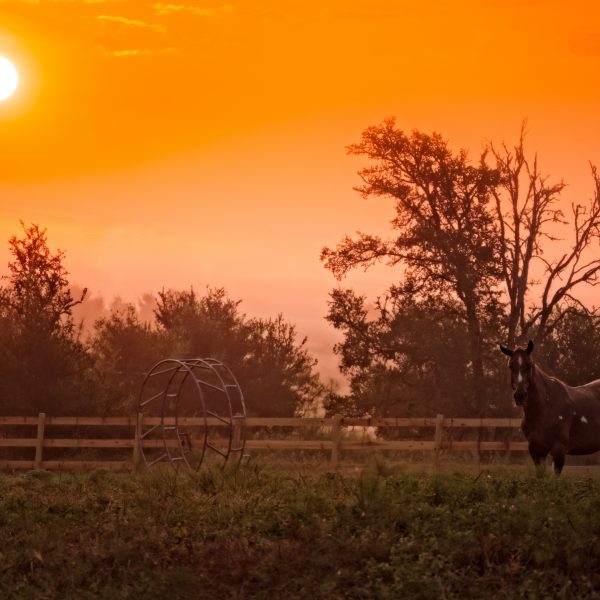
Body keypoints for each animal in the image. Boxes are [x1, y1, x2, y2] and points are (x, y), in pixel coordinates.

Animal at [500, 340, 600, 476]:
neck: (544, 409)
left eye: (529, 365)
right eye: (511, 366)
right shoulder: (536, 450)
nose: (520, 396)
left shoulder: (558, 450)